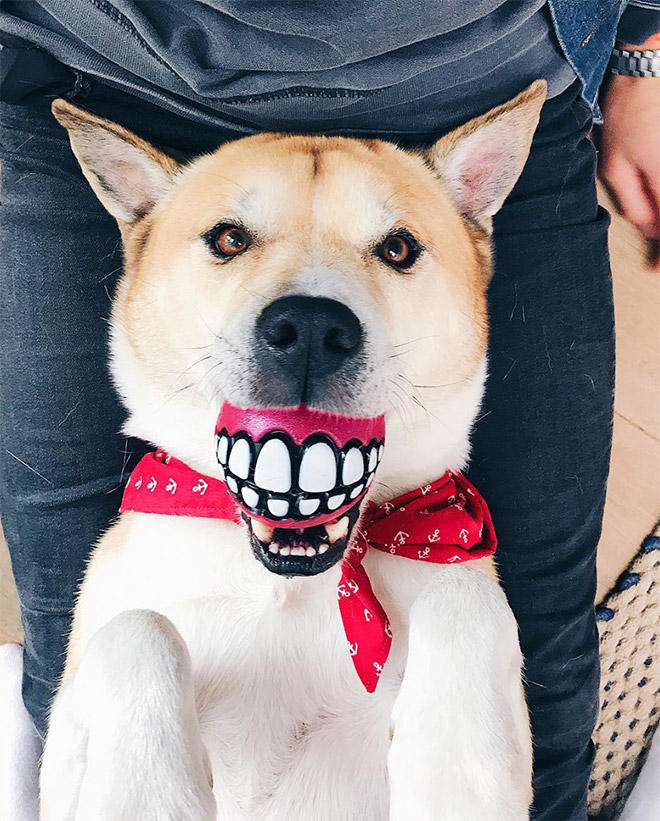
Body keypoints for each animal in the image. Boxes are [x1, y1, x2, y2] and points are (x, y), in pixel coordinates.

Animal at [40, 78, 548, 820]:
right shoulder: (60, 756)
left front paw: (452, 770)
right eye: (229, 238)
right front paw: (152, 794)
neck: (292, 582)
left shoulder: (456, 567)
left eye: (399, 248)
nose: (310, 328)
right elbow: (138, 628)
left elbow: (464, 595)